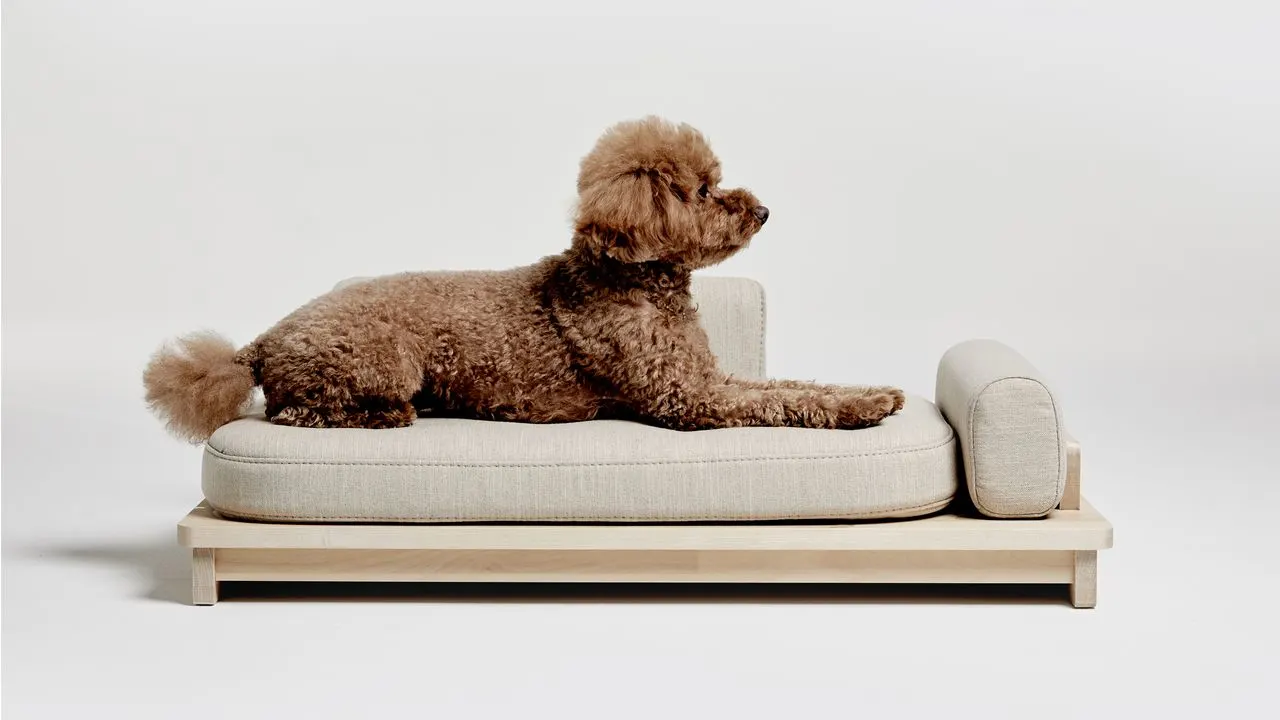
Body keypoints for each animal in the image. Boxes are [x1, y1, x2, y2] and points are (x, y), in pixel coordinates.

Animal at [145, 116, 906, 443]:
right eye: (702, 191)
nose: (765, 210)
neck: (635, 281)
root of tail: (261, 340)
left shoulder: (706, 375)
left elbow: (794, 385)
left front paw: (874, 392)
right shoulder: (687, 397)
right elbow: (779, 402)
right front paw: (860, 409)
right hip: (378, 358)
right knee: (298, 412)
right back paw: (384, 416)